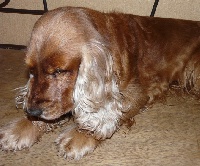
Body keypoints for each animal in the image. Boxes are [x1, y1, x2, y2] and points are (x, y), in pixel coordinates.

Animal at [0, 6, 200, 160]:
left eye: (59, 71)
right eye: (31, 71)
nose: (32, 111)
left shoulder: (138, 93)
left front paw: (81, 135)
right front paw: (20, 128)